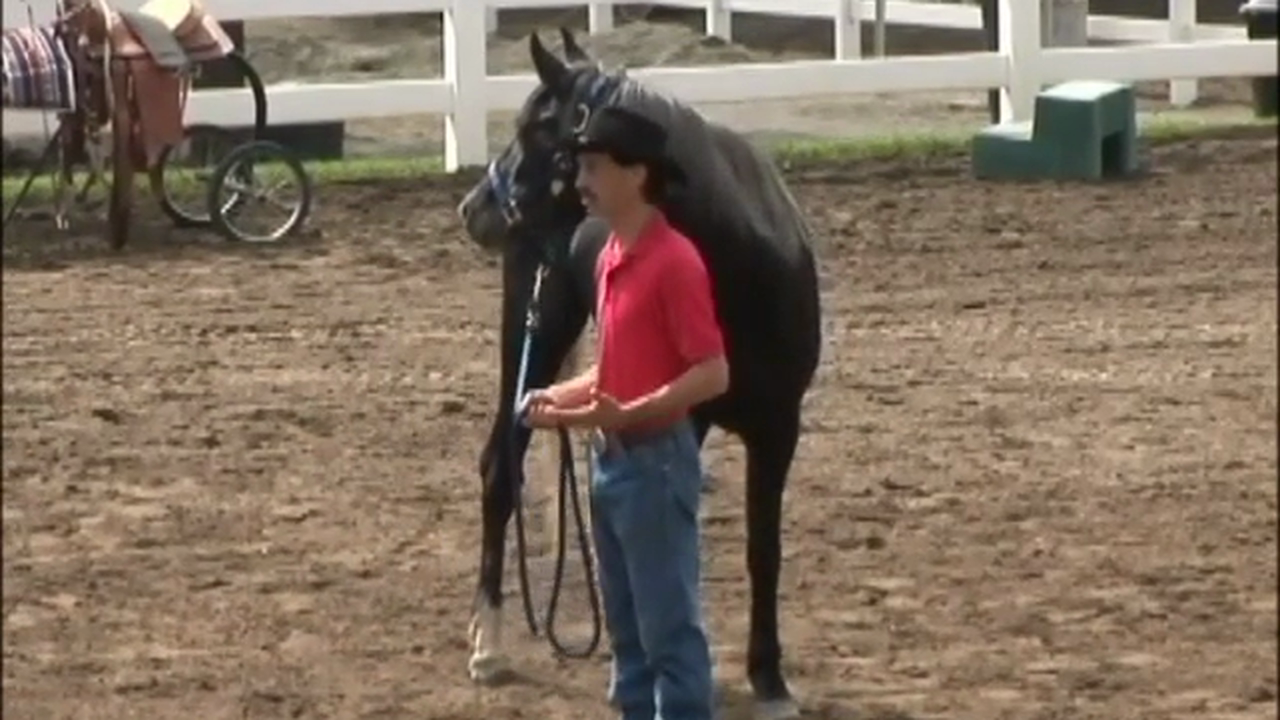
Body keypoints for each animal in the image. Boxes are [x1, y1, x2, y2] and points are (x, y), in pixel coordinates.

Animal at [455, 28, 823, 720]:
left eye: (535, 127)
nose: (474, 208)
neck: (737, 266)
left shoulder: (775, 428)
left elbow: (761, 549)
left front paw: (769, 678)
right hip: (533, 334)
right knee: (500, 470)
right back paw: (488, 643)